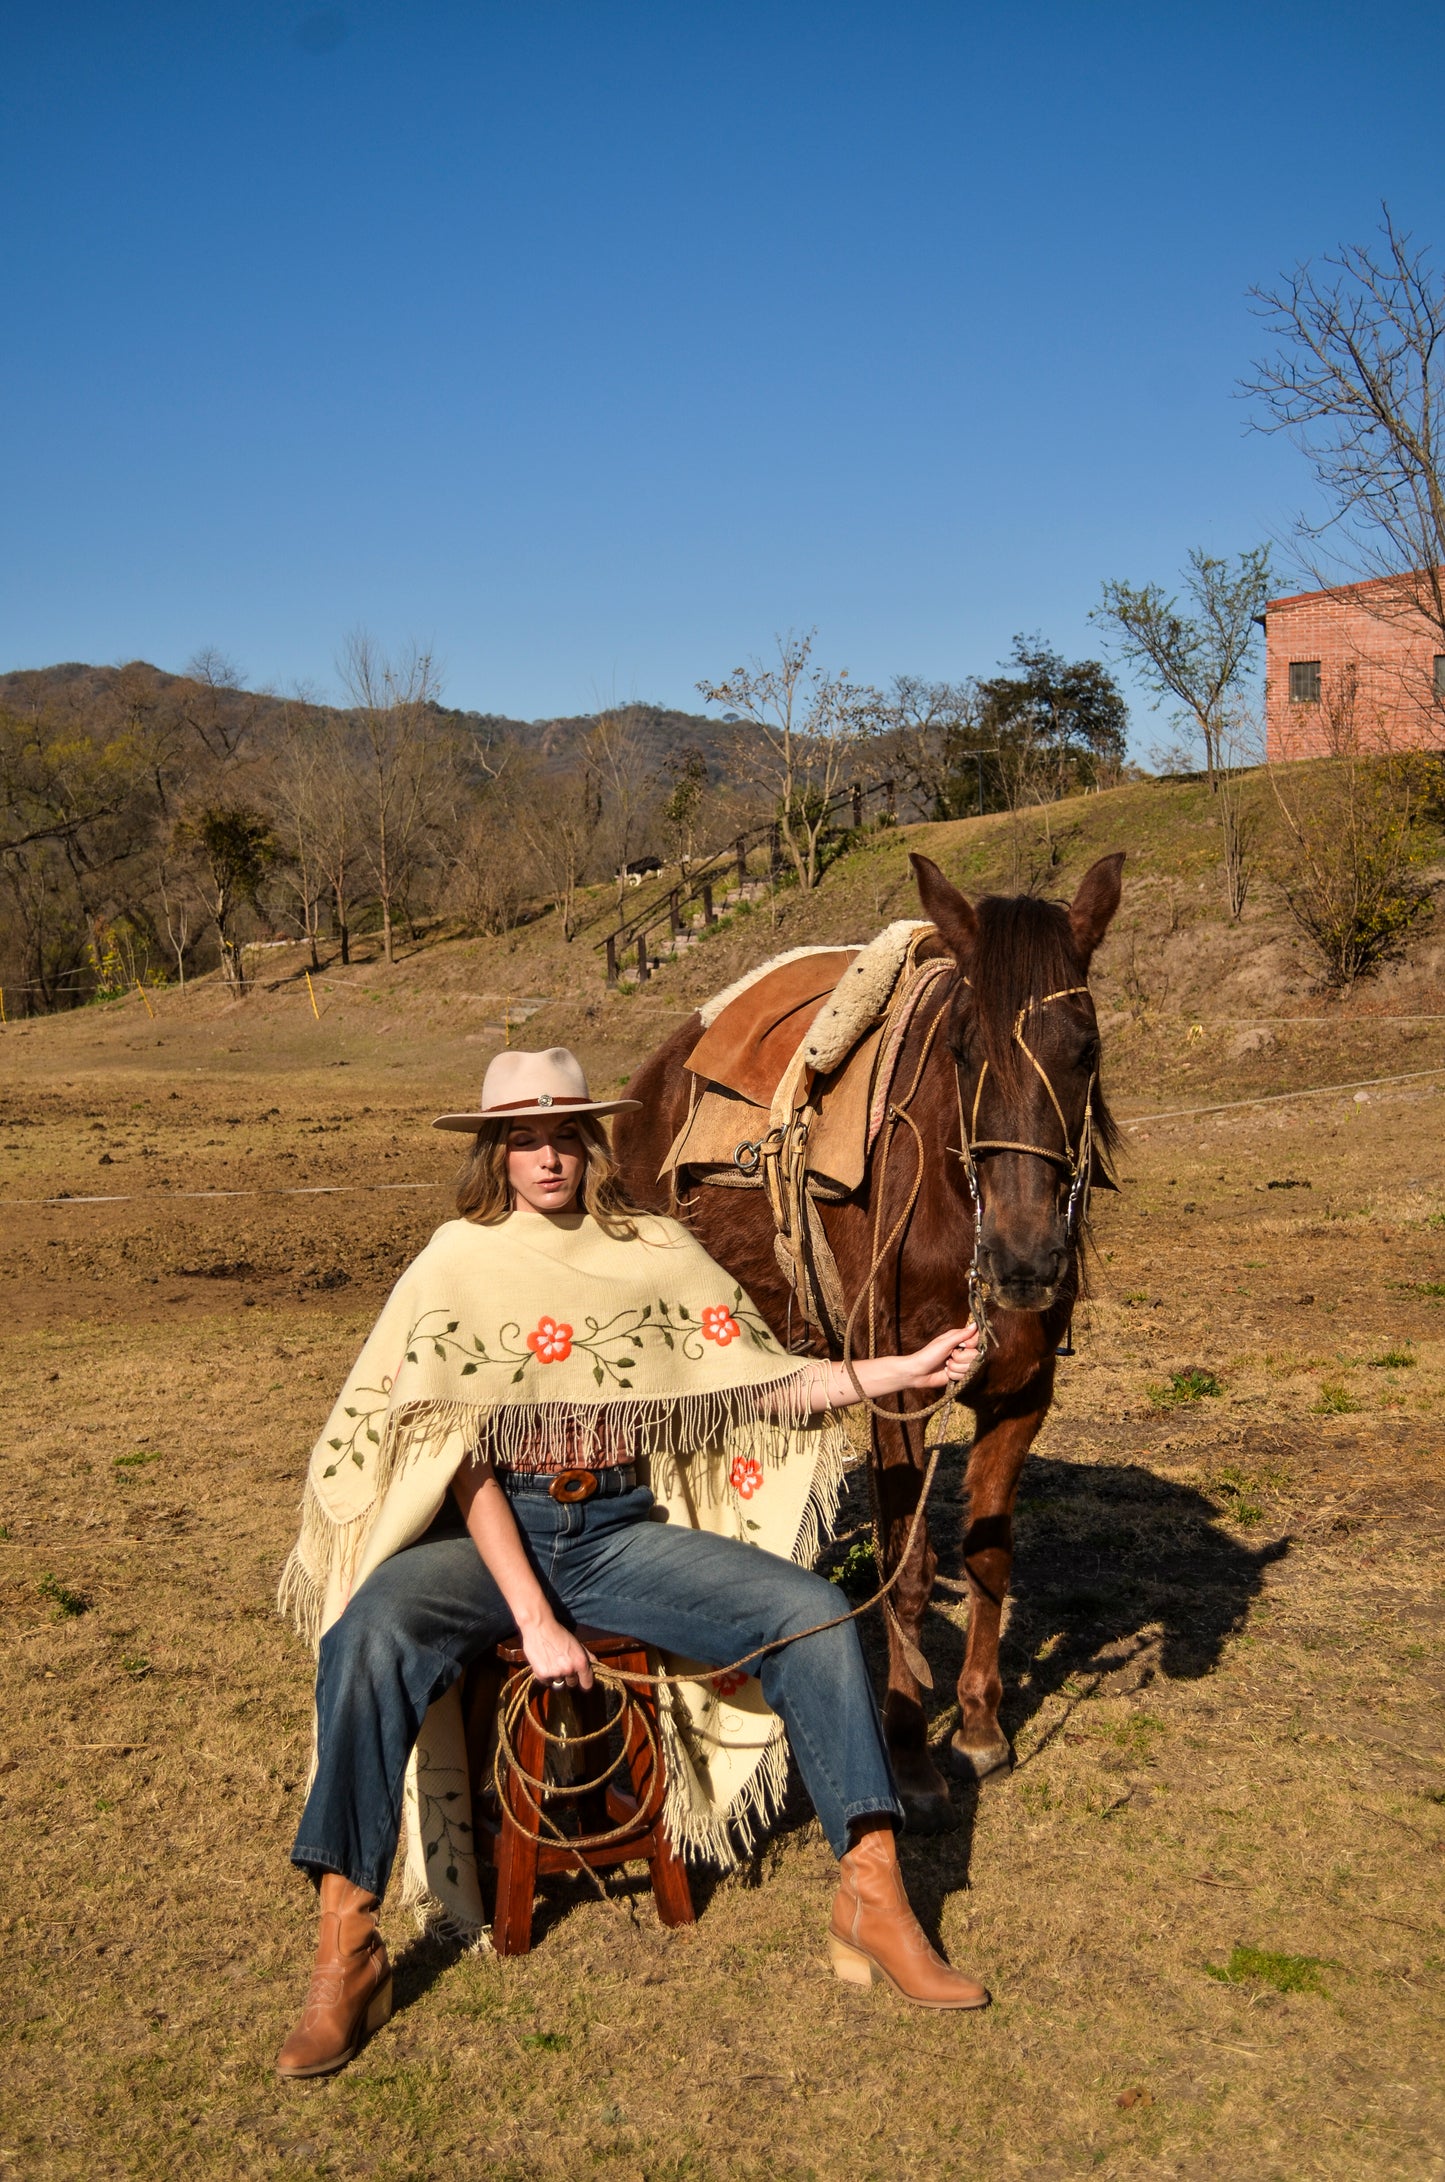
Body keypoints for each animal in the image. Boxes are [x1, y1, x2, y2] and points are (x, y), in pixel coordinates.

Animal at [615, 850, 1126, 1824]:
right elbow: (908, 1561)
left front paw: (977, 1725)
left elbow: (987, 1549)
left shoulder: (1020, 1392)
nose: (1023, 1259)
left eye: (1086, 1049)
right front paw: (910, 1753)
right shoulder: (894, 1391)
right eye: (963, 1051)